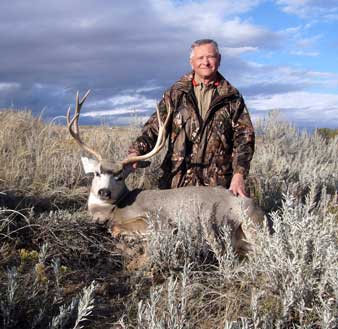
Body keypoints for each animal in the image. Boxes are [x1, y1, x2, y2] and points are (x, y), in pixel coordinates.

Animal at [67, 89, 266, 256]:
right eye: (97, 173)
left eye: (120, 176)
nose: (104, 192)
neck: (115, 208)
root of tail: (259, 209)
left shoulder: (157, 220)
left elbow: (116, 228)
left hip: (239, 222)